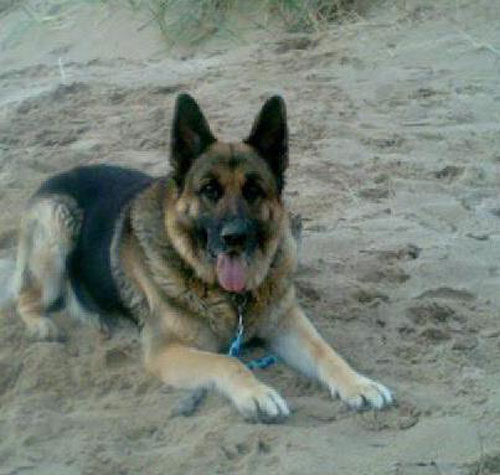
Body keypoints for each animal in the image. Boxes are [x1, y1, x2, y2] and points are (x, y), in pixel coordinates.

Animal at [13, 95, 392, 422]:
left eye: (254, 191)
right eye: (210, 190)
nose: (234, 238)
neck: (232, 298)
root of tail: (51, 180)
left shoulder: (286, 322)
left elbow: (325, 351)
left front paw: (359, 383)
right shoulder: (164, 351)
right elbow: (229, 363)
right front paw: (257, 393)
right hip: (57, 222)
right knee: (26, 296)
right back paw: (43, 324)